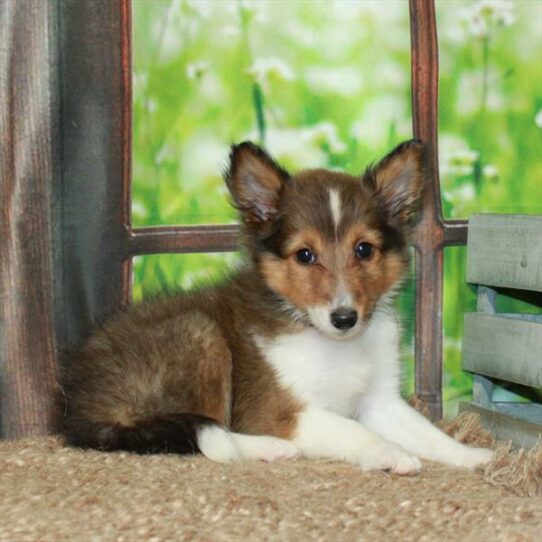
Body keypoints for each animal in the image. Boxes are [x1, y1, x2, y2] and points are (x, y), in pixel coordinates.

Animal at [61, 141, 496, 476]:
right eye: (304, 255)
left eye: (364, 249)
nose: (345, 318)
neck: (332, 343)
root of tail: (78, 405)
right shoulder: (282, 412)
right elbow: (355, 431)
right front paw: (391, 453)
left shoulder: (380, 400)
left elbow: (427, 431)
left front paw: (473, 455)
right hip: (200, 335)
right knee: (205, 431)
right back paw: (268, 448)